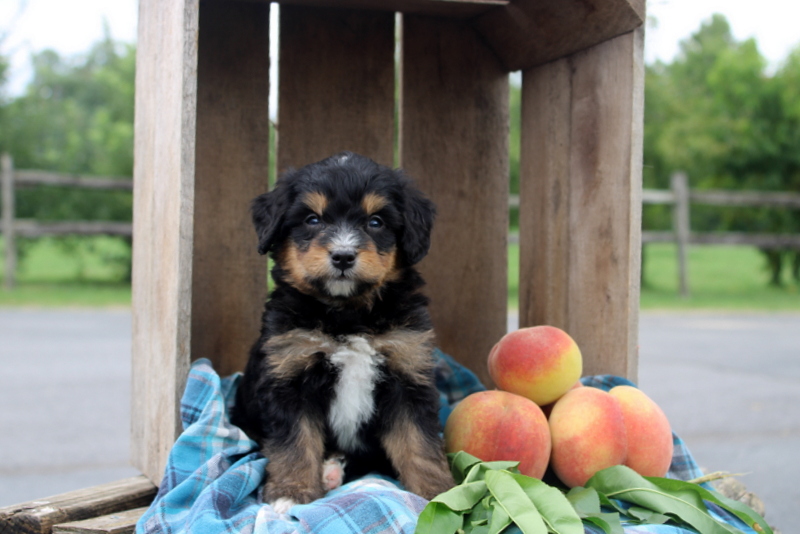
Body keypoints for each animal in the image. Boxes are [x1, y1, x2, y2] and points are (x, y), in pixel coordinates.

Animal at [233, 152, 456, 516]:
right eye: (312, 219)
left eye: (375, 222)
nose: (342, 256)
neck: (348, 315)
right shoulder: (290, 377)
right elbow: (294, 443)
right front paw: (291, 492)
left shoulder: (407, 373)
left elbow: (419, 443)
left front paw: (437, 493)